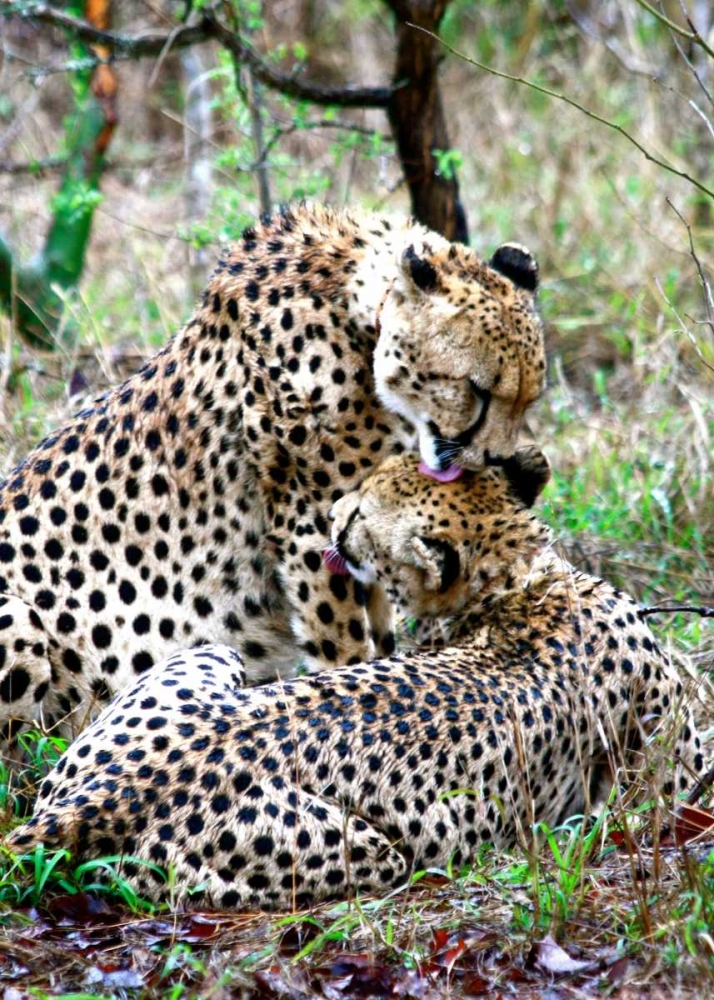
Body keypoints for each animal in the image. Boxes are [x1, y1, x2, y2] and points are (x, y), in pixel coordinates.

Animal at [0, 203, 546, 742]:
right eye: (476, 389)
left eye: (528, 400)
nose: (493, 460)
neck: (360, 316)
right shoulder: (310, 533)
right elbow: (344, 646)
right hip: (20, 620)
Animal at [7, 448, 704, 912]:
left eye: (357, 519)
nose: (328, 518)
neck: (518, 579)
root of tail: (92, 801)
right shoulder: (672, 771)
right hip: (371, 849)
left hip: (207, 658)